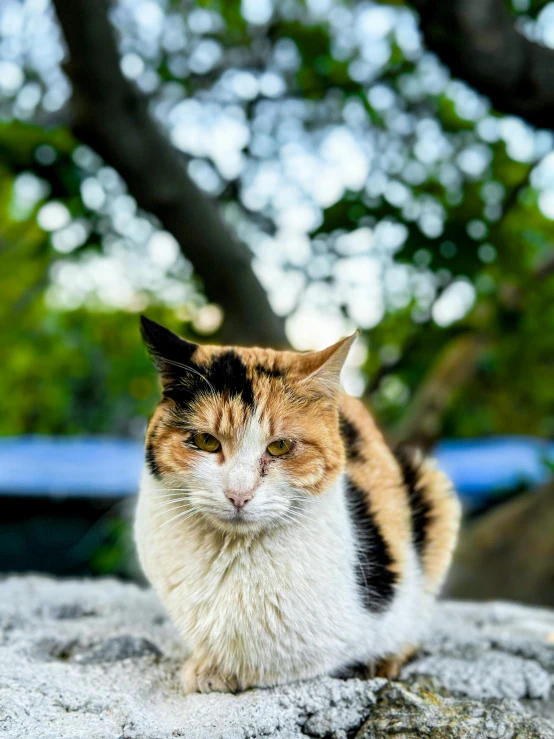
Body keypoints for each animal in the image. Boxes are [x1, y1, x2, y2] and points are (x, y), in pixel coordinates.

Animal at [134, 316, 458, 692]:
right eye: (206, 441)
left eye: (280, 447)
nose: (239, 494)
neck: (234, 556)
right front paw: (207, 667)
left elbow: (276, 658)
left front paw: (213, 671)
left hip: (433, 488)